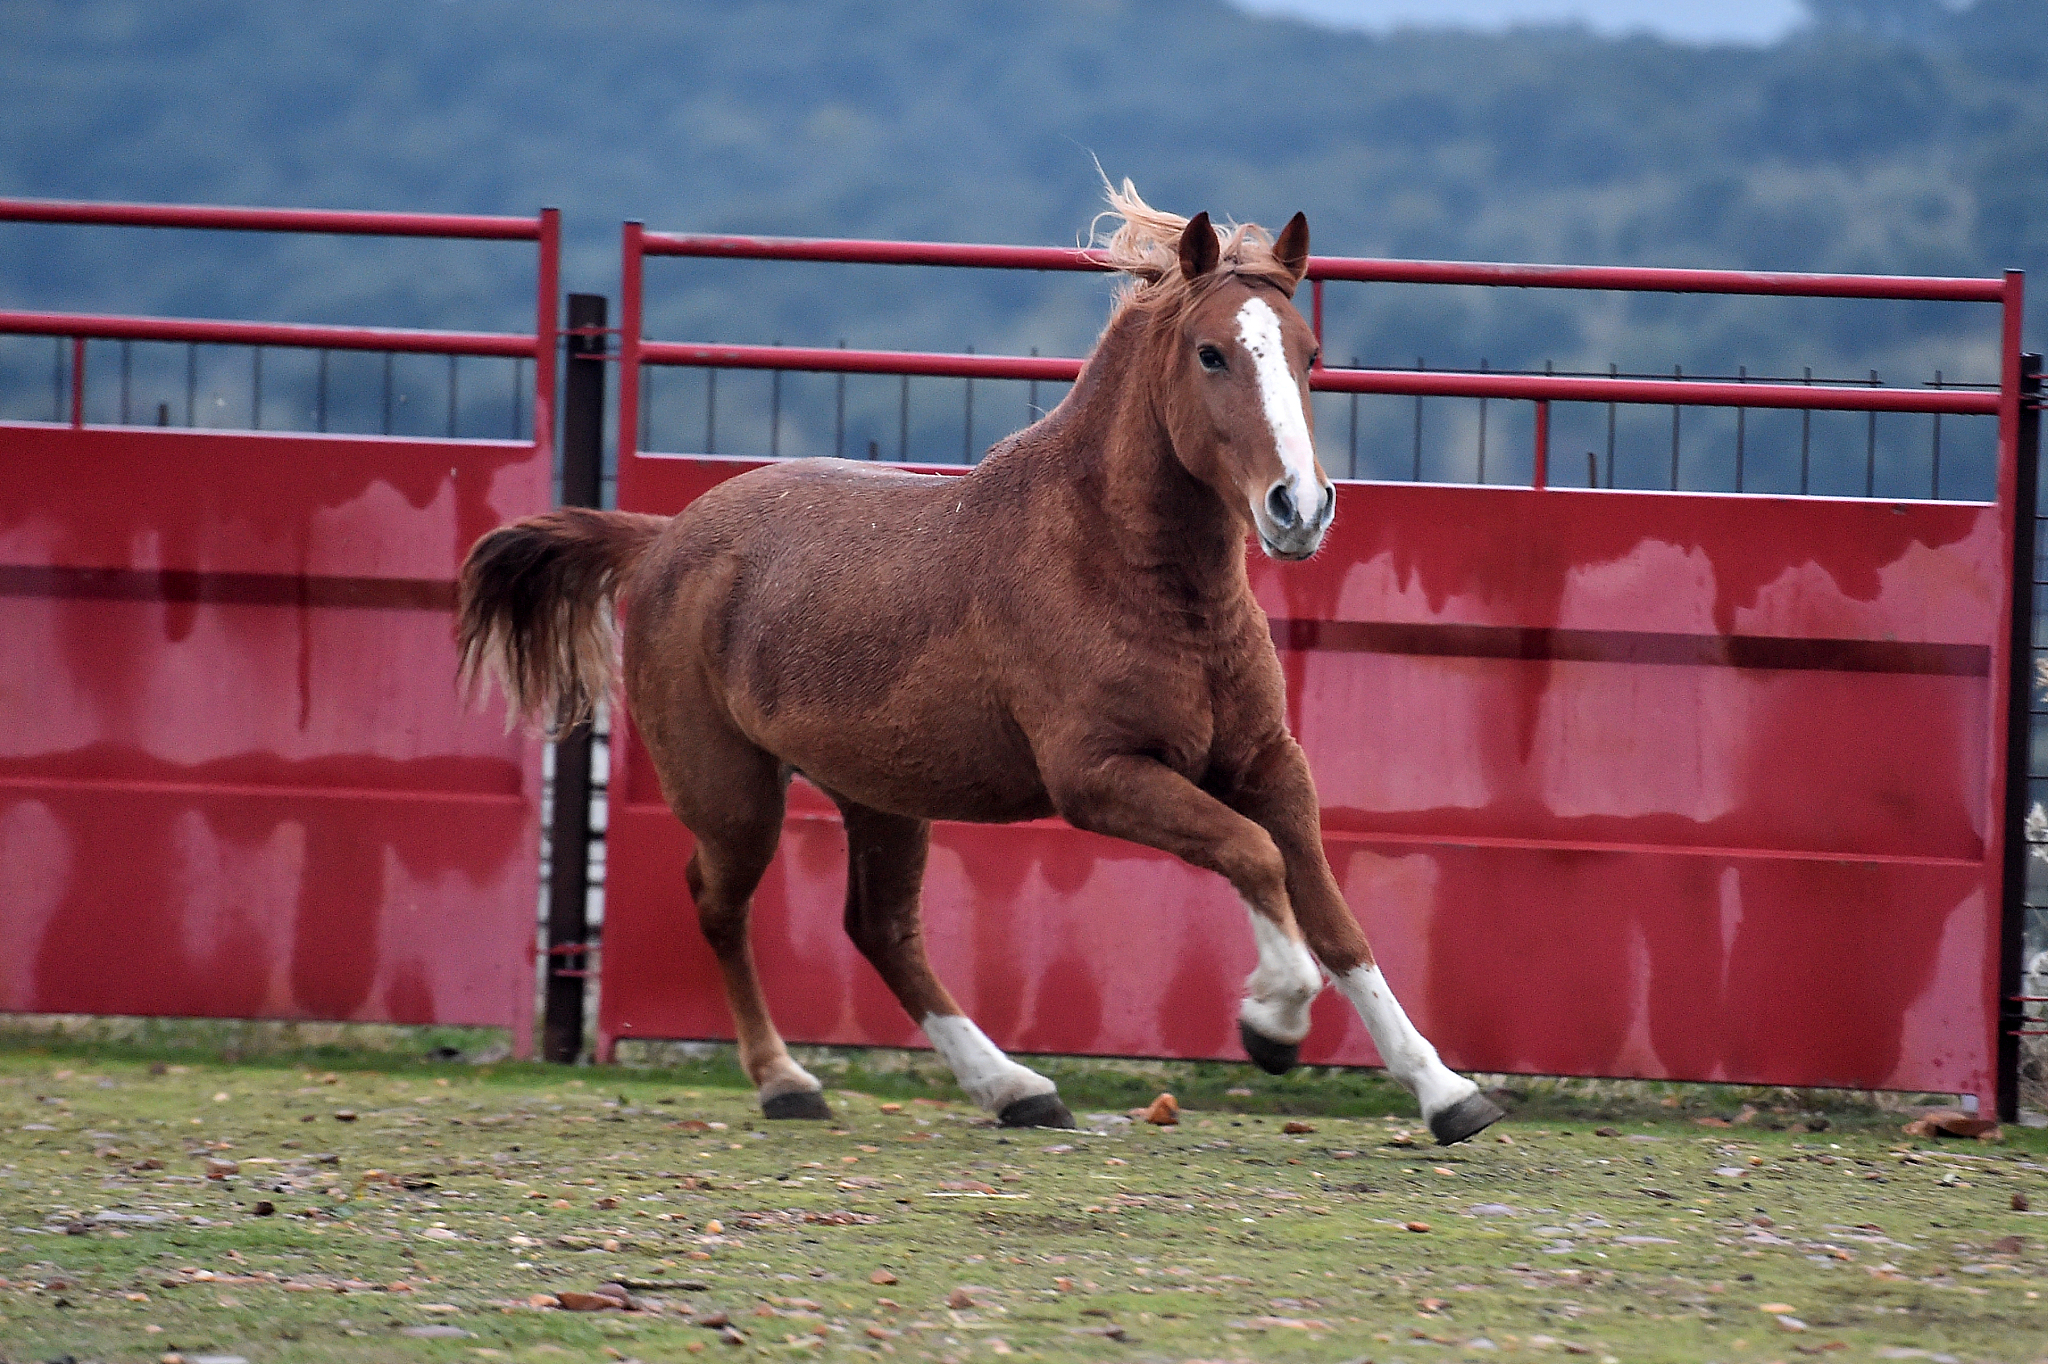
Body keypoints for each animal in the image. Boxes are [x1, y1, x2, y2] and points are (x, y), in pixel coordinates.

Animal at [457, 183, 1504, 1146]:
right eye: (1211, 353)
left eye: (1308, 354)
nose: (1300, 507)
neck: (1132, 576)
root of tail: (664, 538)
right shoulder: (1102, 777)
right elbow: (1252, 858)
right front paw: (1271, 1024)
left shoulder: (1268, 765)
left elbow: (1333, 916)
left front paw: (1448, 1094)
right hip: (733, 792)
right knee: (720, 905)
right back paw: (789, 1082)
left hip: (878, 794)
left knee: (879, 928)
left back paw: (1015, 1089)